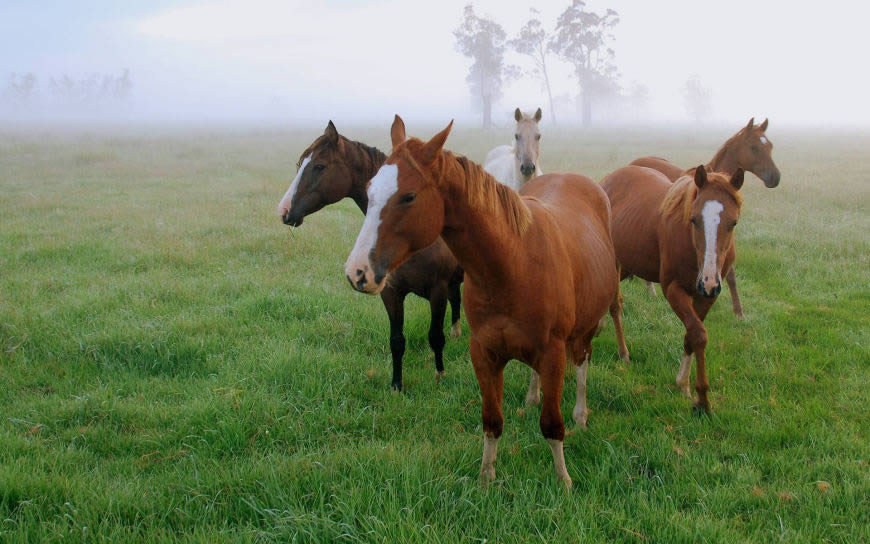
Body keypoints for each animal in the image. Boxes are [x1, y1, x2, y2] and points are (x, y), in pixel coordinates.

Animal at [278, 120, 466, 392]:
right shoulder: (391, 293)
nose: (284, 211)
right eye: (299, 163)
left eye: (319, 166)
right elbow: (397, 341)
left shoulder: (437, 291)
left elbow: (435, 337)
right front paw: (396, 386)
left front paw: (440, 375)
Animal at [344, 116, 624, 488]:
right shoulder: (484, 353)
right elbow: (492, 420)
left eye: (408, 196)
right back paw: (532, 396)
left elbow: (552, 424)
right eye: (370, 190)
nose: (357, 272)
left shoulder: (552, 352)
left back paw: (580, 414)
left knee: (581, 363)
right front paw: (486, 478)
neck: (513, 263)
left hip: (586, 327)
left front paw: (563, 480)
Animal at [604, 166, 744, 412]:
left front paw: (683, 385)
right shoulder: (673, 290)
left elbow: (691, 334)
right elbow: (698, 334)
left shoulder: (706, 297)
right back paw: (623, 352)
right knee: (614, 305)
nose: (708, 281)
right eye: (694, 219)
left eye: (733, 223)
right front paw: (702, 399)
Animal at [632, 118, 780, 314]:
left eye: (770, 145)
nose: (775, 177)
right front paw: (738, 310)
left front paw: (738, 311)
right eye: (754, 147)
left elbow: (730, 274)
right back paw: (651, 290)